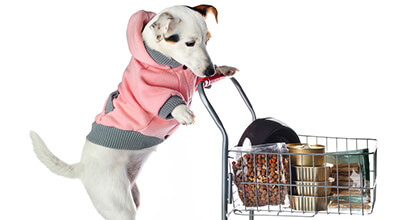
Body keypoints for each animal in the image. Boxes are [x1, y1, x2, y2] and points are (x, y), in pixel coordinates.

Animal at [30, 5, 237, 220]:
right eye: (189, 43)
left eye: (208, 39)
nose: (209, 70)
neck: (171, 65)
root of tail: (81, 167)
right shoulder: (144, 88)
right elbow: (162, 99)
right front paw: (181, 111)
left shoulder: (193, 79)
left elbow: (197, 80)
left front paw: (222, 70)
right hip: (118, 206)